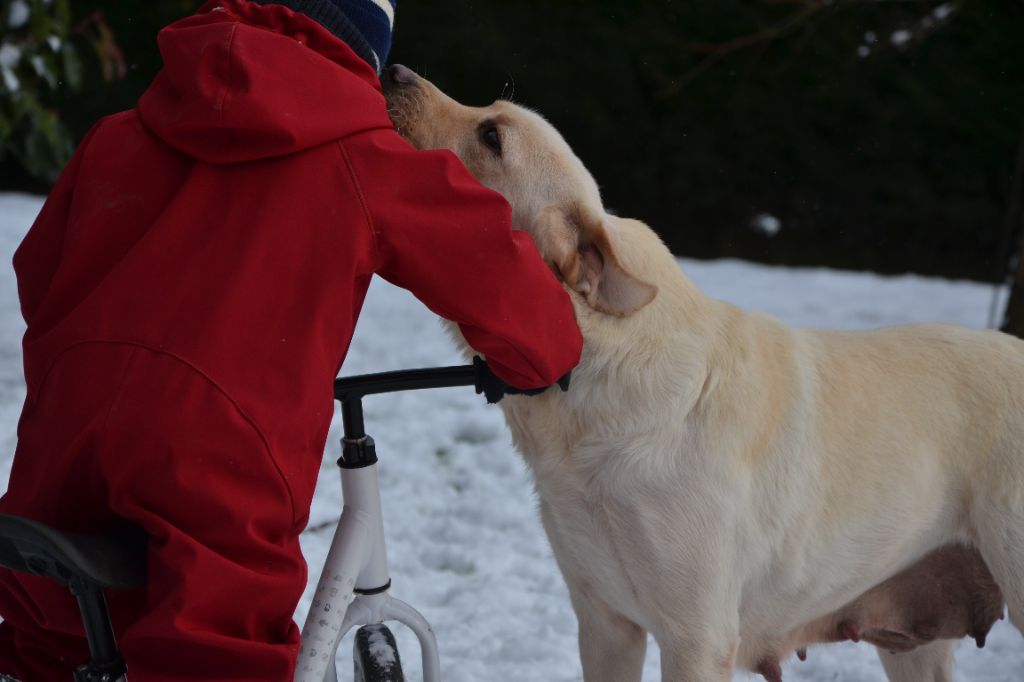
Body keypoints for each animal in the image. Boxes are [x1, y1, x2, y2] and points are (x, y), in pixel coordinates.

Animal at [382, 65, 1015, 679]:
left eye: (492, 136)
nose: (393, 71)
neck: (588, 371)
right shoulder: (604, 624)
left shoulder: (697, 637)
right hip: (913, 639)